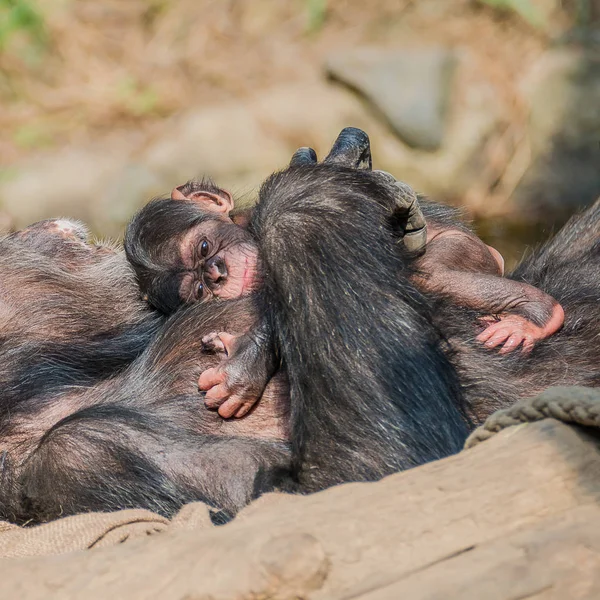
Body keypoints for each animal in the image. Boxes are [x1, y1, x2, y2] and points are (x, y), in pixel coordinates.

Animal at [124, 127, 564, 418]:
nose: (215, 273)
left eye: (203, 248)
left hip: (465, 250)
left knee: (435, 273)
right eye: (198, 290)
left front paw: (242, 368)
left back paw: (536, 314)